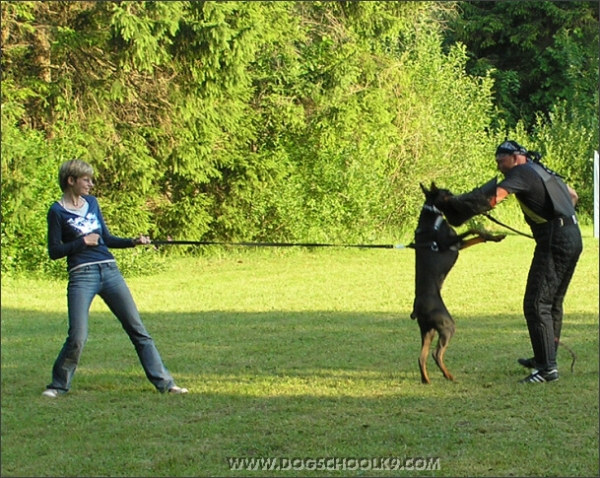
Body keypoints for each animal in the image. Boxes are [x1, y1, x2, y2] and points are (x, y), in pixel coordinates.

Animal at [410, 181, 504, 382]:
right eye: (447, 192)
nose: (456, 195)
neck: (432, 215)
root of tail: (416, 309)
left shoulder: (458, 245)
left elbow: (477, 237)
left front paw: (496, 237)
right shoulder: (450, 242)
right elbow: (473, 230)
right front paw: (491, 234)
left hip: (427, 330)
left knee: (422, 356)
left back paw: (427, 379)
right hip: (447, 326)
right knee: (436, 353)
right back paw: (448, 375)